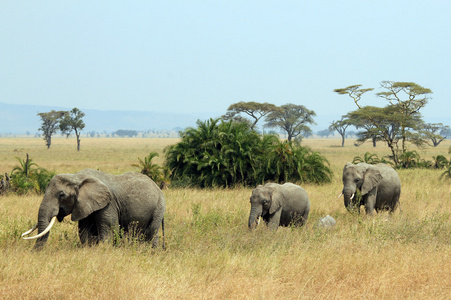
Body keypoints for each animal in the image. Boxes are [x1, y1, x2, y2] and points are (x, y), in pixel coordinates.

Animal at [21, 169, 166, 251]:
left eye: (62, 195)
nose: (32, 252)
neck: (77, 177)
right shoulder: (84, 205)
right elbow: (84, 230)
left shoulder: (109, 204)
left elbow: (109, 229)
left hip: (159, 206)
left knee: (152, 231)